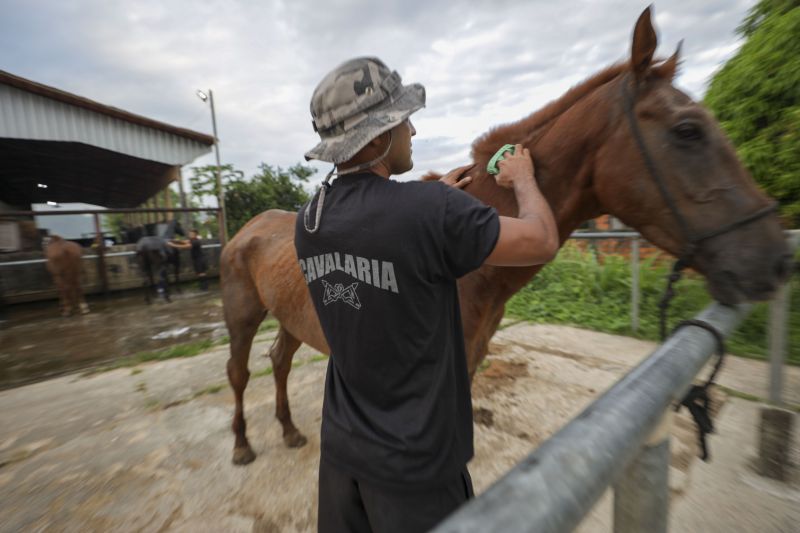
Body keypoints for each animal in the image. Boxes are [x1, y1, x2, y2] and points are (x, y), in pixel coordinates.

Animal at [216, 8, 792, 466]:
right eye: (687, 131)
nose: (777, 256)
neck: (480, 272)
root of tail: (245, 231)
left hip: (289, 315)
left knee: (279, 361)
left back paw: (290, 431)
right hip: (243, 318)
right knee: (240, 372)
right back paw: (242, 445)